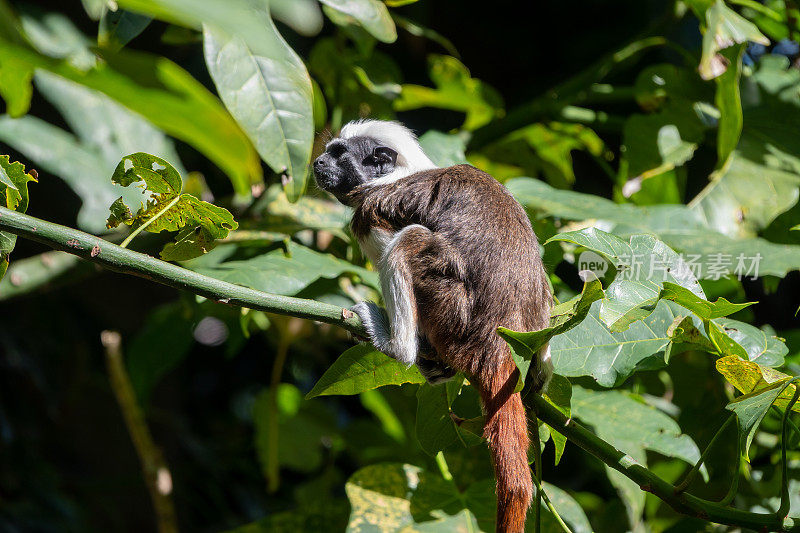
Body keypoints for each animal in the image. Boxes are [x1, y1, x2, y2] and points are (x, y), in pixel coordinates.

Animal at [316, 120, 552, 532]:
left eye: (339, 155)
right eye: (327, 152)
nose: (317, 163)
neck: (397, 175)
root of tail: (498, 339)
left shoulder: (375, 208)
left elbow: (387, 238)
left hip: (449, 305)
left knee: (409, 241)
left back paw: (398, 345)